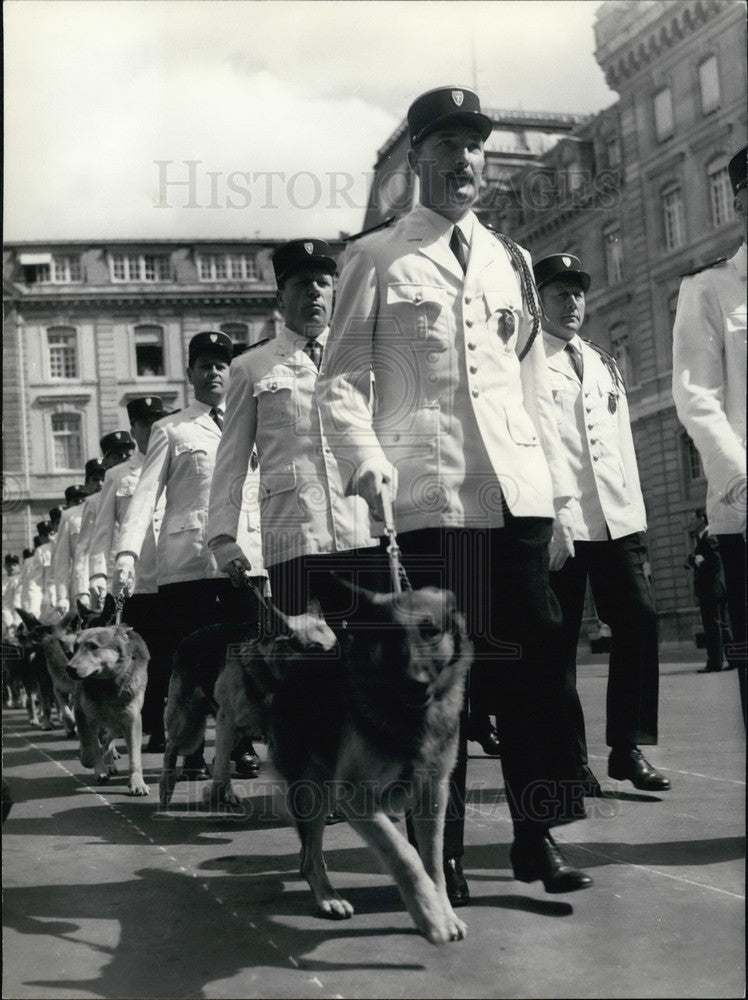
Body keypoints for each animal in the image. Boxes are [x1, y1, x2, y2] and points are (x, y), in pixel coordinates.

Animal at [68, 592, 152, 796]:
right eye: (76, 647)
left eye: (93, 646)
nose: (69, 668)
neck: (107, 685)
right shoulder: (83, 714)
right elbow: (89, 748)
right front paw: (95, 765)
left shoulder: (132, 719)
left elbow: (134, 757)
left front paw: (137, 782)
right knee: (98, 741)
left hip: (118, 722)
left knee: (107, 739)